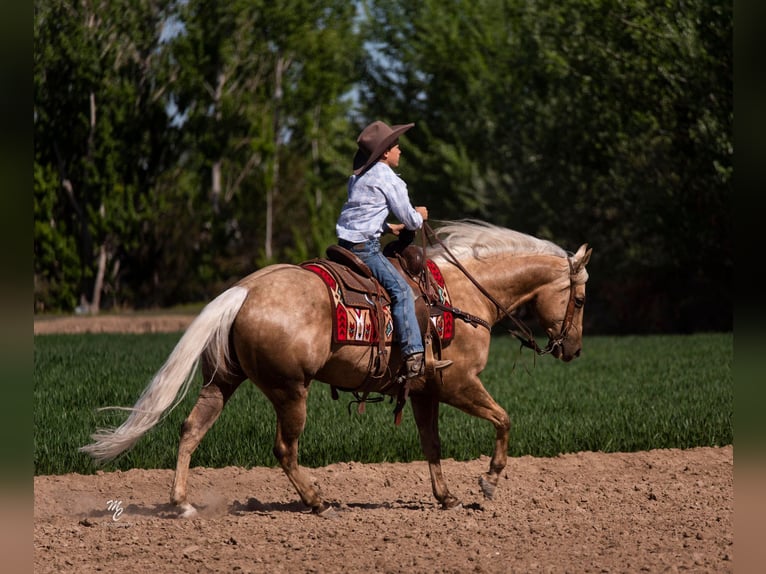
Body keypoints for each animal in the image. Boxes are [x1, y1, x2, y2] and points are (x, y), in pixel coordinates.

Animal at [81, 219, 592, 516]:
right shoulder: (458, 383)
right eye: (582, 298)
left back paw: (182, 503)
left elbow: (432, 444)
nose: (573, 350)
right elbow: (503, 420)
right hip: (290, 391)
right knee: (284, 449)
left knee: (191, 429)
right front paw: (487, 482)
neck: (464, 297)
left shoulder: (425, 392)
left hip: (222, 381)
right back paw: (318, 501)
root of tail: (244, 291)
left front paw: (446, 497)